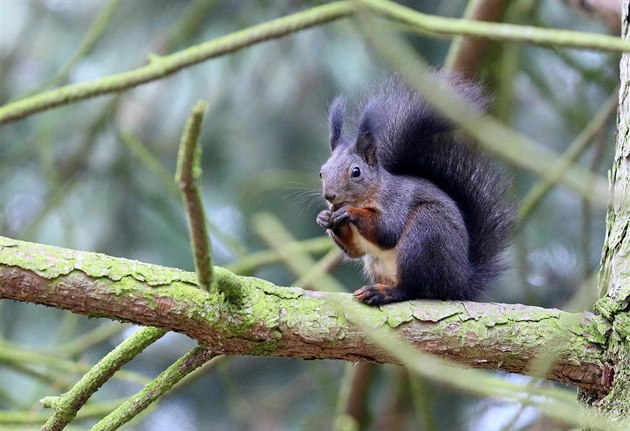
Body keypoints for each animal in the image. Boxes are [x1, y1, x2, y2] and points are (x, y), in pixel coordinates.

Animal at [316, 77, 520, 308]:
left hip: (424, 234)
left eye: (356, 172)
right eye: (322, 172)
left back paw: (383, 293)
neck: (371, 193)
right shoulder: (357, 245)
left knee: (411, 288)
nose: (329, 196)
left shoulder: (396, 202)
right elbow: (354, 251)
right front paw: (324, 217)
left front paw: (349, 212)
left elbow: (387, 231)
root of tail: (460, 284)